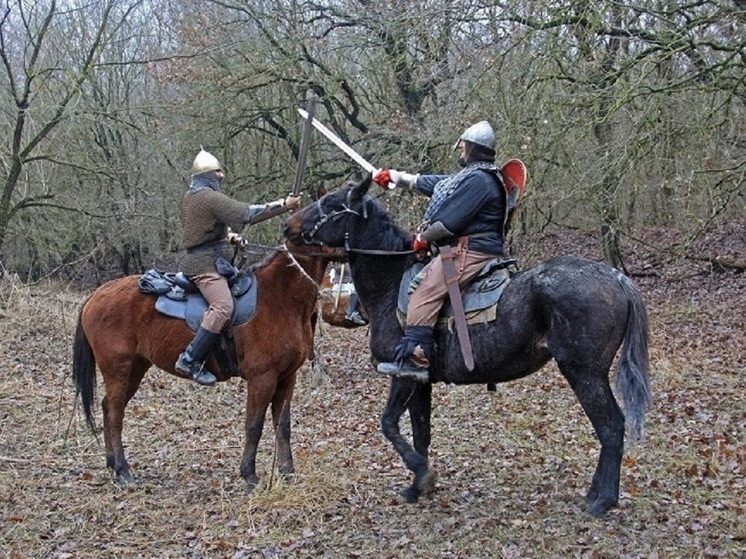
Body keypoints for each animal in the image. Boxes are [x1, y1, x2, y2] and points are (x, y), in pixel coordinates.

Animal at [73, 247, 334, 488]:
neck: (278, 296)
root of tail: (96, 295)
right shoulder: (263, 378)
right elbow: (254, 425)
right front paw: (249, 475)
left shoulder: (287, 377)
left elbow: (283, 425)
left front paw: (287, 472)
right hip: (119, 371)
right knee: (115, 415)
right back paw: (123, 471)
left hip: (135, 370)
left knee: (107, 407)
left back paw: (112, 463)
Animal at [282, 174, 648, 516]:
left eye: (330, 204)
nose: (287, 226)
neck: (392, 282)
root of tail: (616, 278)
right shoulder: (420, 381)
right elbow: (421, 432)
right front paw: (416, 487)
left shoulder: (402, 375)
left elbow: (388, 424)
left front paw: (423, 474)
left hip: (584, 373)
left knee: (611, 426)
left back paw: (602, 500)